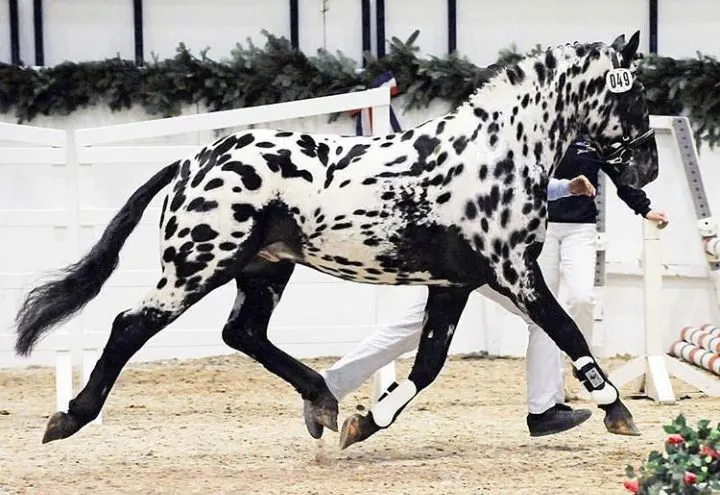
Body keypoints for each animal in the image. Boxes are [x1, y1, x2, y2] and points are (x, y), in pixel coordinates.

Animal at [15, 30, 660, 450]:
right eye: (632, 94)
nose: (648, 168)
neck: (498, 154)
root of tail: (192, 160)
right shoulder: (513, 273)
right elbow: (568, 330)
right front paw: (618, 410)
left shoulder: (454, 284)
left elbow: (428, 364)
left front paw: (366, 421)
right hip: (198, 265)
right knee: (131, 325)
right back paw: (69, 418)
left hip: (263, 269)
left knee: (243, 333)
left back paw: (323, 399)